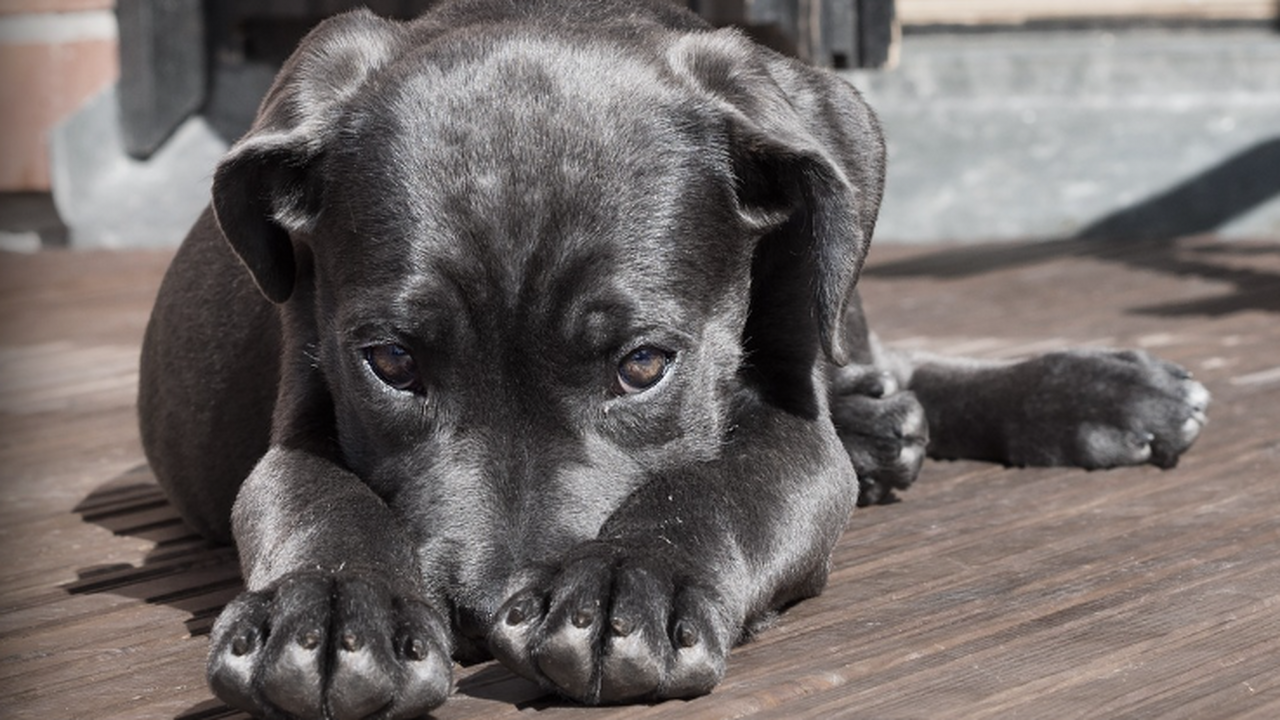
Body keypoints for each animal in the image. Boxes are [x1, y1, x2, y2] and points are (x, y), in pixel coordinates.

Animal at [140, 1, 1208, 712]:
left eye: (644, 366)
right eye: (392, 363)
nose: (485, 613)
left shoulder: (790, 426)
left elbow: (721, 484)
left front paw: (628, 583)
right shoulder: (302, 402)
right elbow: (315, 496)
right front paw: (330, 611)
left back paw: (1093, 392)